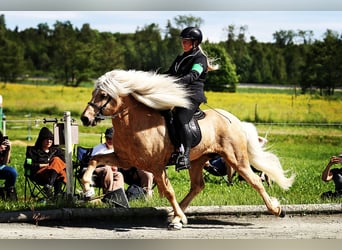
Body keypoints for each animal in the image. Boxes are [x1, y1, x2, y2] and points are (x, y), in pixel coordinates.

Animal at [79, 69, 294, 229]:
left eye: (103, 95)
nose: (85, 118)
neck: (136, 123)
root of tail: (236, 122)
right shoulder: (124, 159)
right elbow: (94, 160)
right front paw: (88, 190)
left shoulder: (156, 167)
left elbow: (168, 191)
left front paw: (179, 219)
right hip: (198, 160)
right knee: (198, 186)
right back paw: (175, 215)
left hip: (236, 159)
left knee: (256, 181)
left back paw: (277, 210)